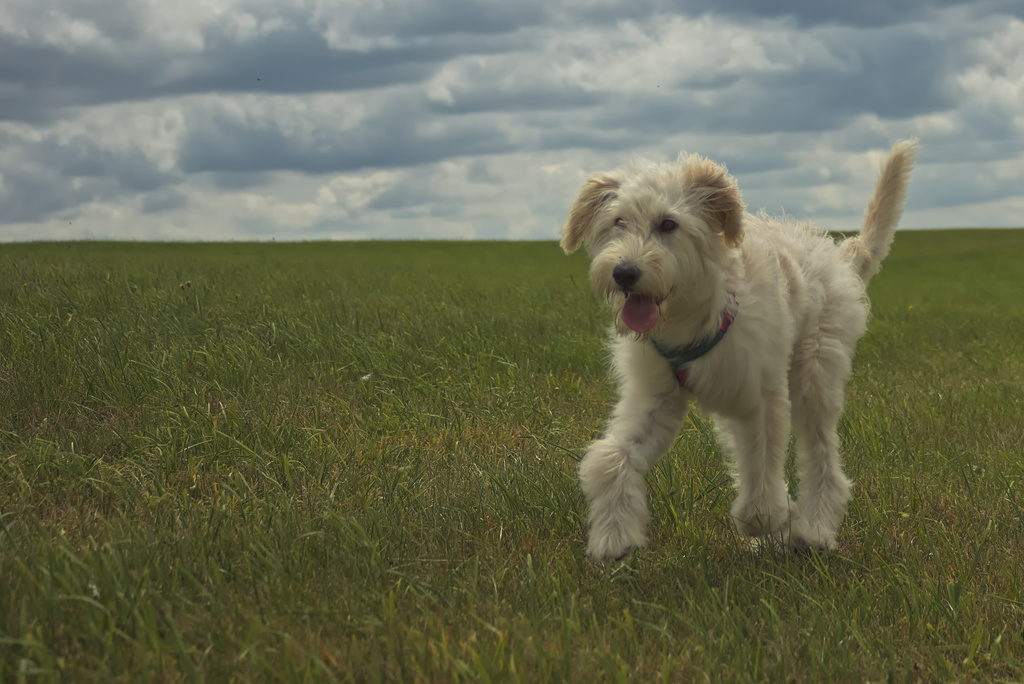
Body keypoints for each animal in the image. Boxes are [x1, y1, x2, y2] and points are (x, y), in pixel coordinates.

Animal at [565, 140, 917, 561]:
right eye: (618, 221)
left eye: (668, 224)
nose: (624, 273)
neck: (695, 312)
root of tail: (839, 257)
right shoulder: (655, 397)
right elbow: (612, 457)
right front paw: (614, 536)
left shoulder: (761, 400)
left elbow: (762, 475)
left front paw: (773, 520)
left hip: (815, 377)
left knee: (823, 459)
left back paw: (813, 530)